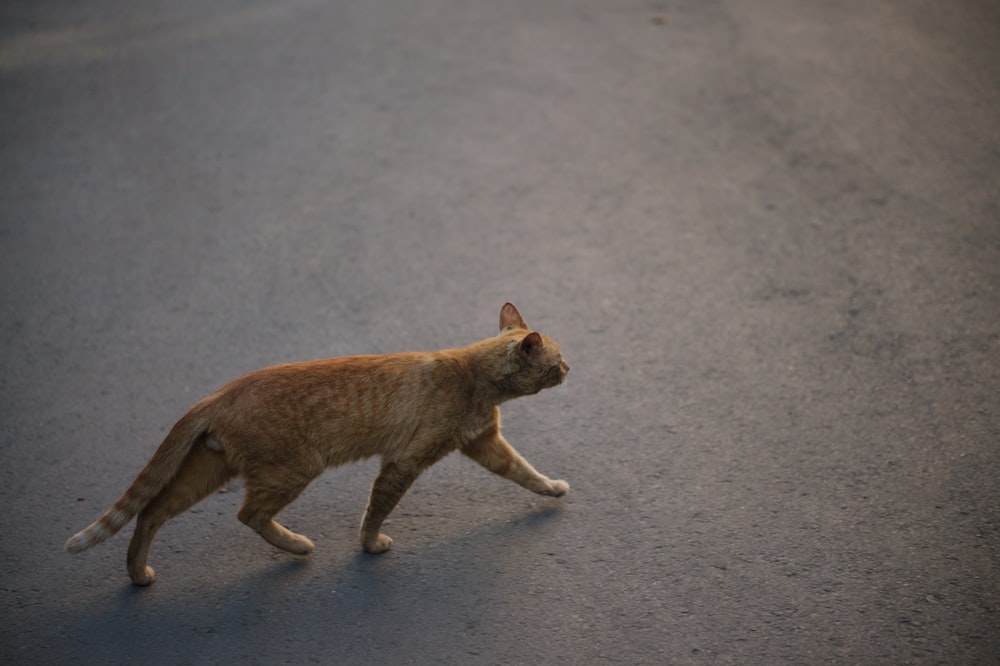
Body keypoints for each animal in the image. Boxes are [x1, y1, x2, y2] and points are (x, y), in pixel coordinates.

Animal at [64, 304, 572, 584]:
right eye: (559, 359)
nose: (571, 368)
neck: (474, 378)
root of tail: (218, 393)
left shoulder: (486, 445)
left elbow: (525, 472)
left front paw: (552, 488)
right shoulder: (404, 462)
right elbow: (377, 508)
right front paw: (370, 545)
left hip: (207, 471)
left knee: (151, 511)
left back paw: (138, 575)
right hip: (294, 469)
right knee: (247, 513)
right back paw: (298, 546)